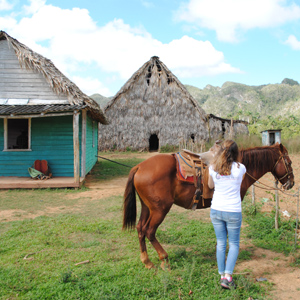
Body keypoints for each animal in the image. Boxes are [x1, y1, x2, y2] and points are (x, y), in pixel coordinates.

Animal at [123, 142, 294, 268]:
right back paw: (164, 258)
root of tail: (139, 166)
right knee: (149, 231)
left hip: (147, 207)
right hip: (160, 209)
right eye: (289, 162)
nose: (291, 183)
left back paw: (147, 261)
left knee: (140, 229)